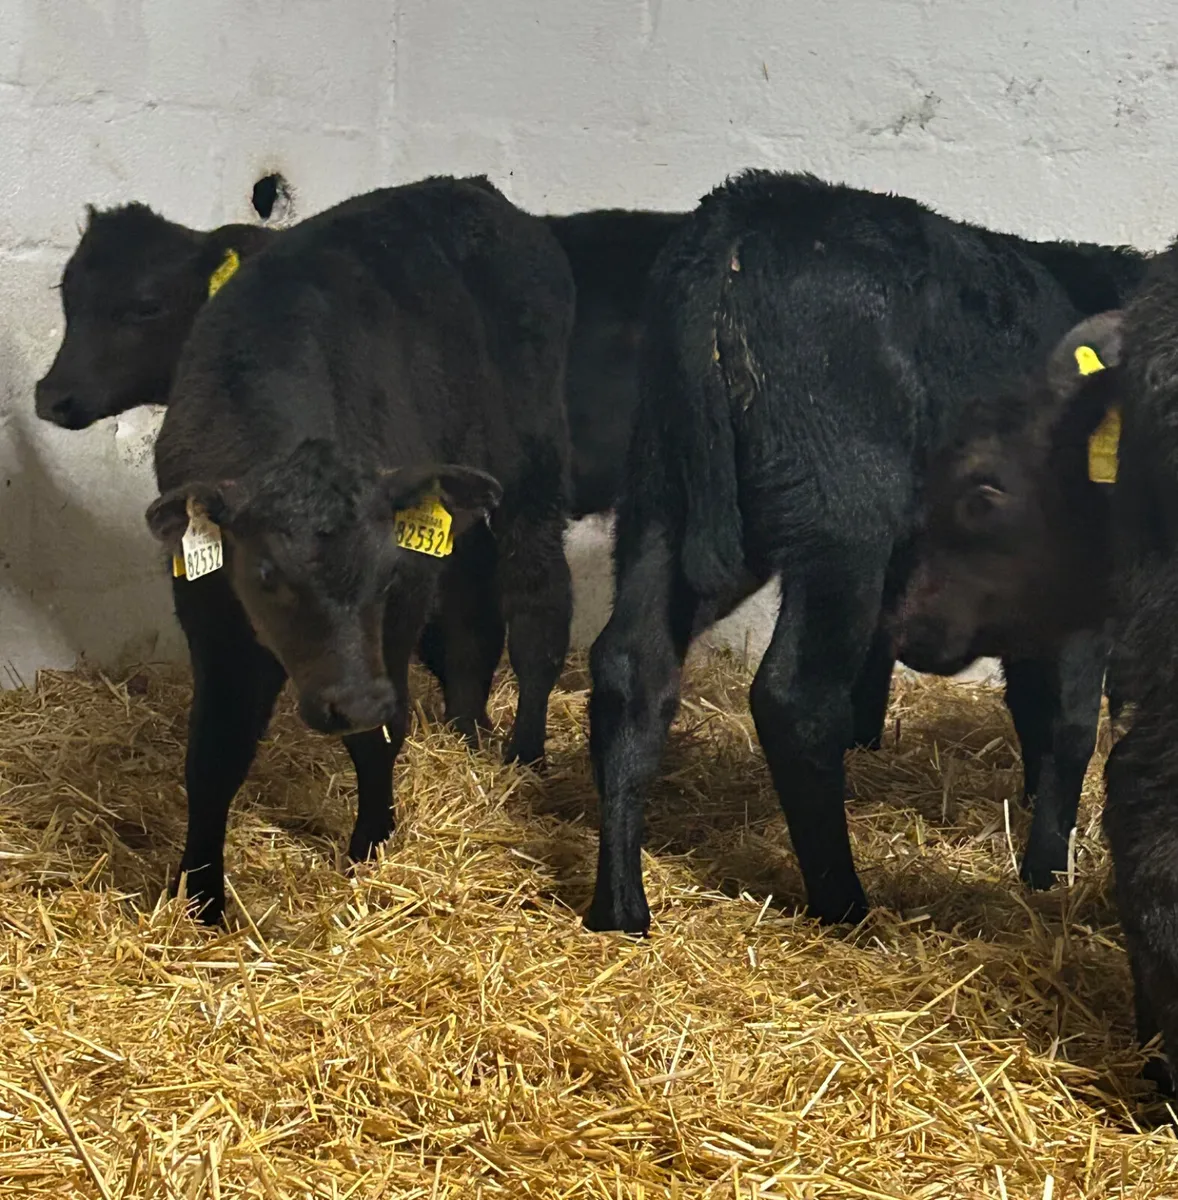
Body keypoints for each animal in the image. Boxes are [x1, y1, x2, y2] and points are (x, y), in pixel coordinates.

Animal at [142, 175, 575, 924]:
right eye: (265, 572)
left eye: (387, 569)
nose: (354, 699)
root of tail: (475, 189)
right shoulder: (207, 611)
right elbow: (213, 755)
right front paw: (201, 897)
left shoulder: (400, 610)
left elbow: (381, 738)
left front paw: (371, 845)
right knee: (471, 619)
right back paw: (467, 729)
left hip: (536, 466)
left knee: (538, 609)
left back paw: (524, 750)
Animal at [584, 169, 1146, 935]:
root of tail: (747, 207)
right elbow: (1068, 721)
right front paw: (1046, 874)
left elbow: (1034, 704)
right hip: (844, 516)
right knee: (796, 697)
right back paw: (845, 904)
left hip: (665, 492)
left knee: (631, 666)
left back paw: (619, 906)